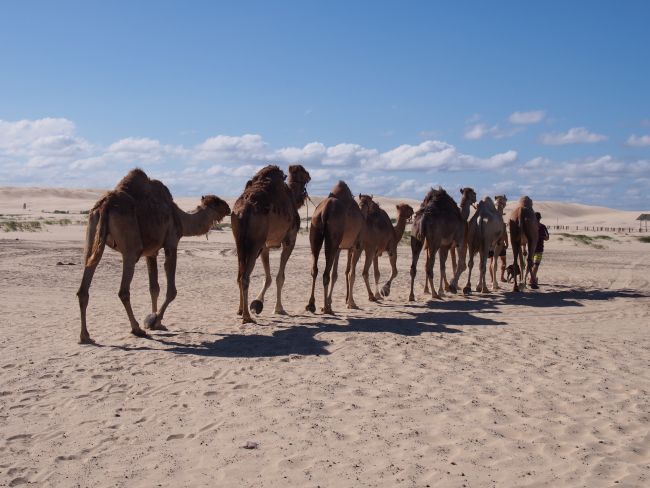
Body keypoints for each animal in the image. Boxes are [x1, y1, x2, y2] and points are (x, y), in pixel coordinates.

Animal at [76, 170, 230, 346]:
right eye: (218, 201)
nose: (229, 208)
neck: (181, 218)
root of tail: (105, 205)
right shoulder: (171, 242)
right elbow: (171, 291)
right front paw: (153, 320)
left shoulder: (151, 252)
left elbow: (154, 288)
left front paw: (157, 322)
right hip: (131, 247)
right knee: (123, 291)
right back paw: (137, 329)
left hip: (92, 233)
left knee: (84, 286)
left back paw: (85, 336)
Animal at [230, 164, 312, 324]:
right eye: (305, 176)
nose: (309, 176)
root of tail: (243, 211)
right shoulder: (289, 240)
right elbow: (280, 277)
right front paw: (279, 309)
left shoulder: (265, 245)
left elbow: (267, 278)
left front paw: (257, 304)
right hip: (254, 242)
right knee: (244, 277)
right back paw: (247, 317)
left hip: (240, 241)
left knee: (239, 275)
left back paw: (240, 310)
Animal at [306, 181, 362, 314]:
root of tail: (325, 209)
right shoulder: (356, 245)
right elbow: (351, 273)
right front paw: (351, 303)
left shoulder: (340, 248)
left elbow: (336, 274)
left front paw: (332, 302)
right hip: (333, 238)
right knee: (325, 274)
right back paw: (326, 309)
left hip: (315, 229)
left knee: (315, 269)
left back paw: (312, 305)